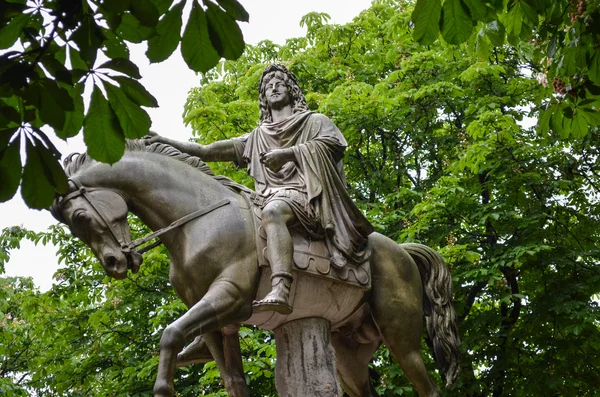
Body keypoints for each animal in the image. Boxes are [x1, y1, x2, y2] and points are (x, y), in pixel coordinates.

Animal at [51, 141, 462, 394]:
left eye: (81, 217)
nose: (115, 263)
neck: (197, 220)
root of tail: (402, 251)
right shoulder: (219, 324)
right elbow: (232, 381)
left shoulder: (230, 296)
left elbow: (169, 334)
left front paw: (163, 389)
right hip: (348, 351)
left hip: (401, 337)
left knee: (429, 388)